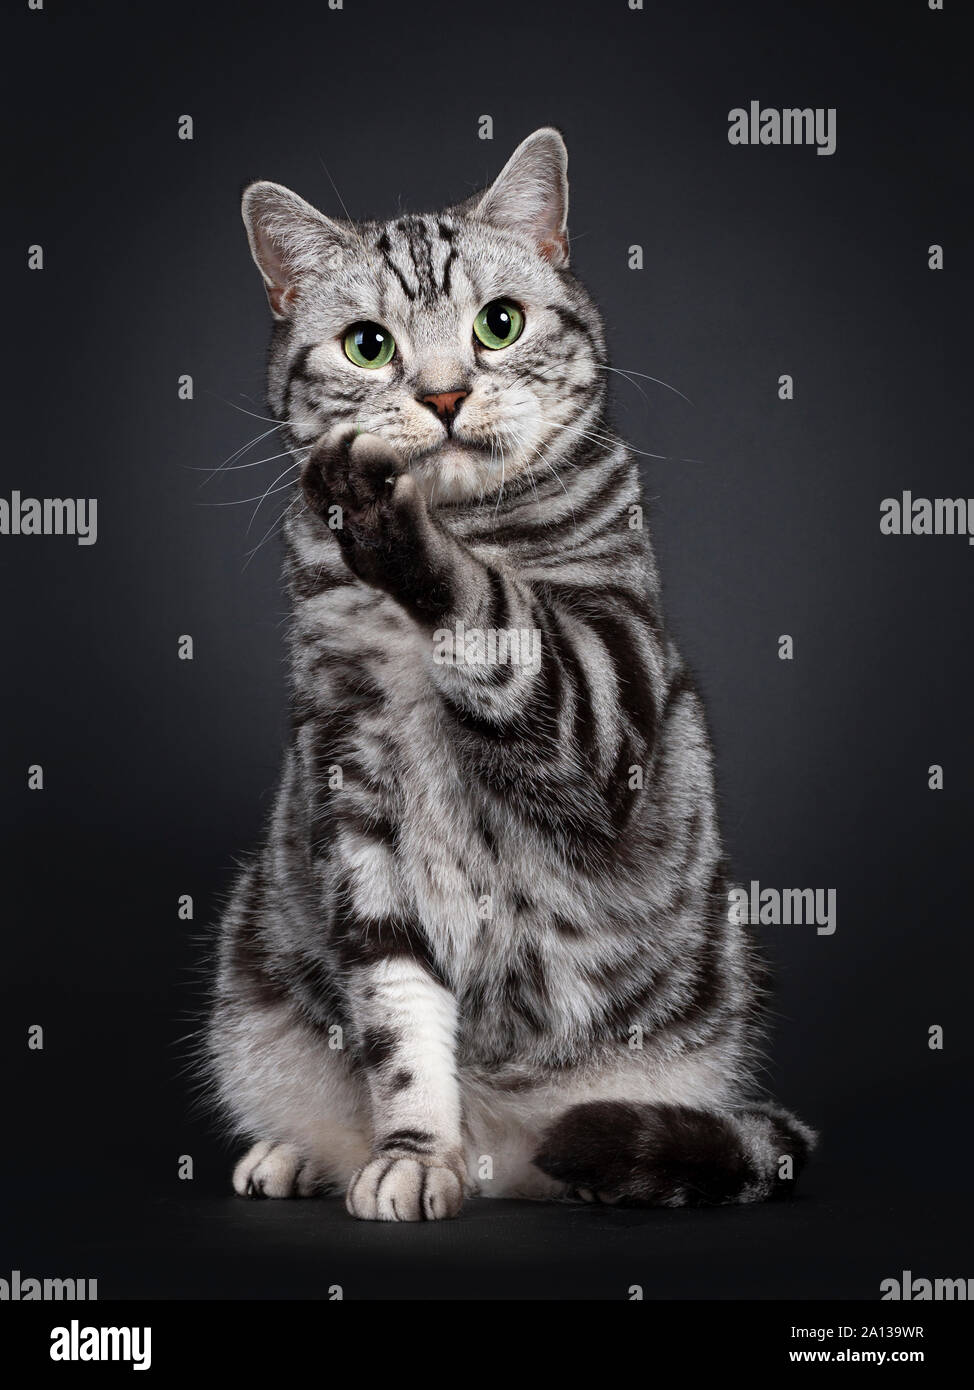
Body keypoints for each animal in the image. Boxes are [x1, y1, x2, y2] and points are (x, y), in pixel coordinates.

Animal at [202, 127, 811, 1217]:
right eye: (369, 344)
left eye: (499, 324)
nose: (443, 395)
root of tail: (510, 1162)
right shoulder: (350, 789)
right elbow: (397, 1019)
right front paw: (411, 1153)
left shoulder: (607, 697)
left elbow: (496, 613)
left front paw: (403, 532)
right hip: (253, 974)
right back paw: (301, 1153)